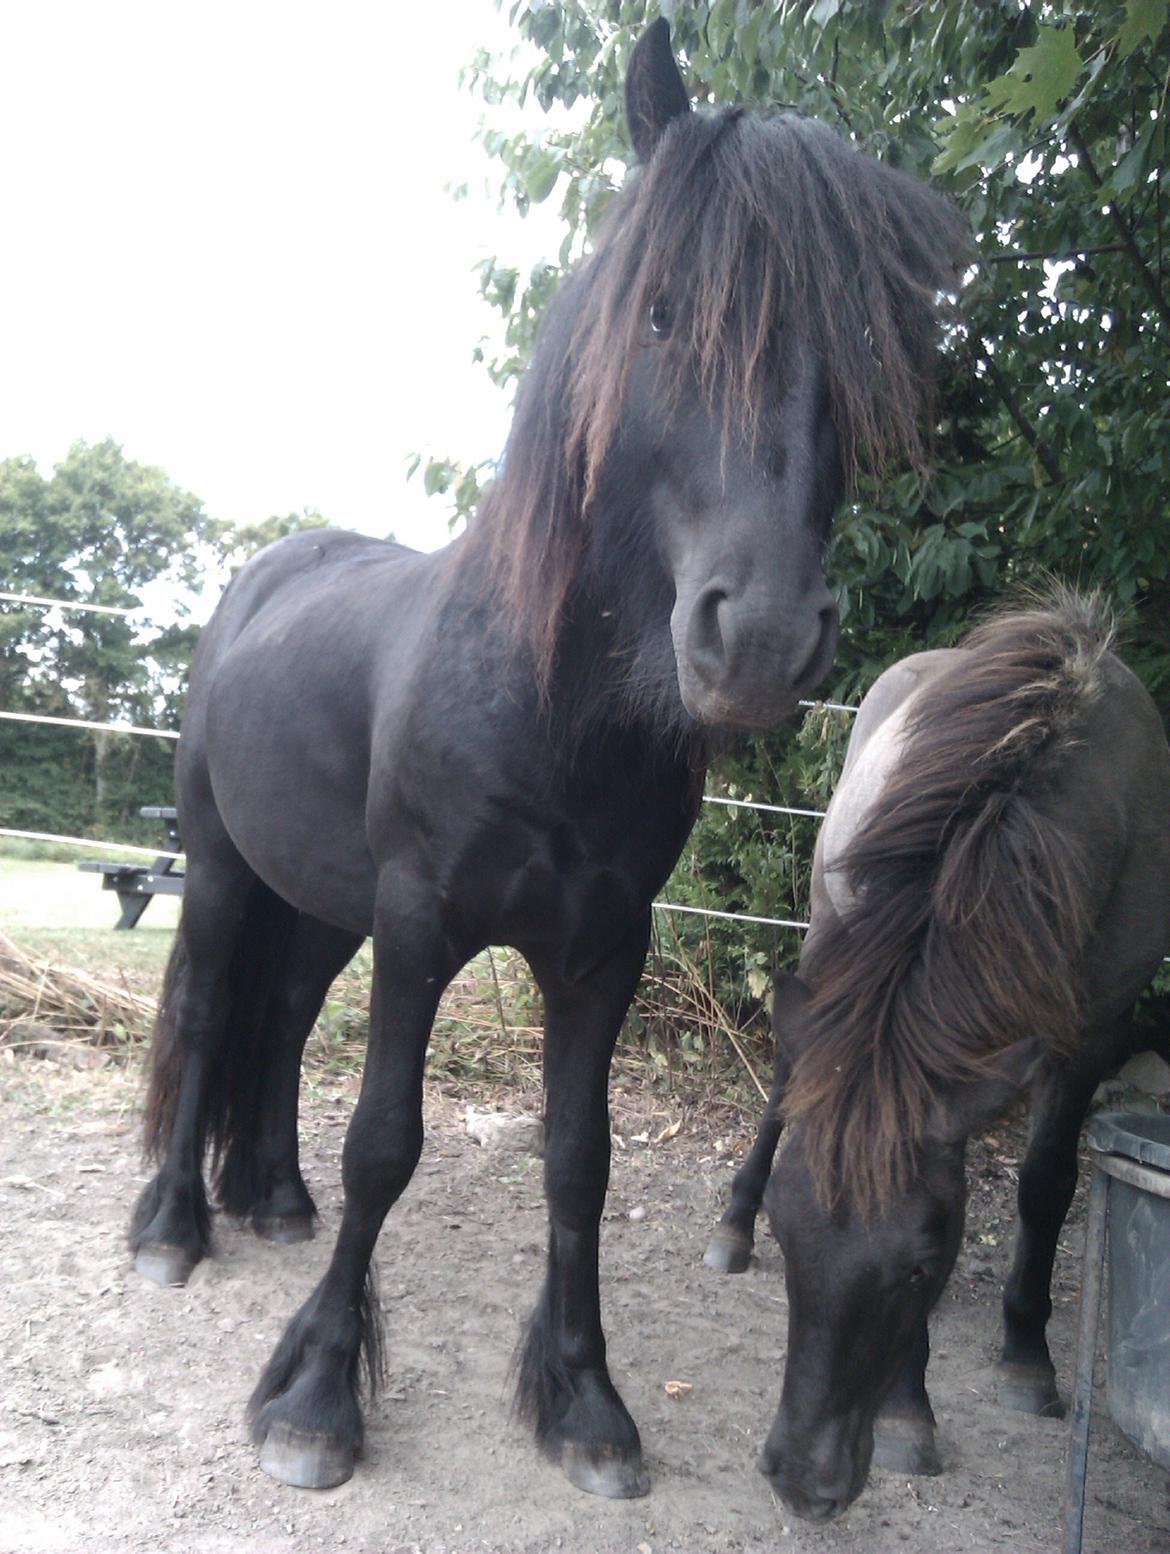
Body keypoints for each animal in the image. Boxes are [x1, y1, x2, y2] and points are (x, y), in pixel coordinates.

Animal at [129, 19, 965, 1502]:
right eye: (662, 314)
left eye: (860, 343)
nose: (758, 635)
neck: (544, 708)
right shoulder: (420, 924)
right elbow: (386, 1143)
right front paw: (314, 1401)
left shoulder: (598, 949)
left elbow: (579, 1162)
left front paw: (584, 1400)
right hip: (227, 873)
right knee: (208, 1006)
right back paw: (175, 1225)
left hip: (322, 905)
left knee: (278, 1014)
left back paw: (271, 1198)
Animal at [703, 591, 1170, 1521]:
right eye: (788, 1230)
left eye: (922, 1268)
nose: (801, 1479)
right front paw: (909, 1412)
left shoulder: (1091, 1033)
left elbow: (1044, 1184)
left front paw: (1026, 1352)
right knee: (787, 1081)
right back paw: (729, 1226)